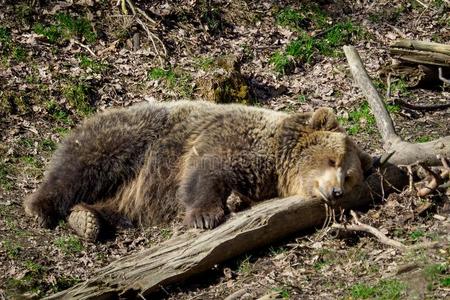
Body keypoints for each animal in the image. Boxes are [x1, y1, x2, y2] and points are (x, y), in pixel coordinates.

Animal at [22, 101, 370, 241]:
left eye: (349, 175)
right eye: (332, 160)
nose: (336, 191)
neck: (275, 160)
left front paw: (234, 202)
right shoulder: (228, 138)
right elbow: (205, 170)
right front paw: (205, 215)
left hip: (132, 192)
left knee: (117, 208)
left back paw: (87, 219)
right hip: (127, 141)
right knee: (79, 168)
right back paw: (41, 208)